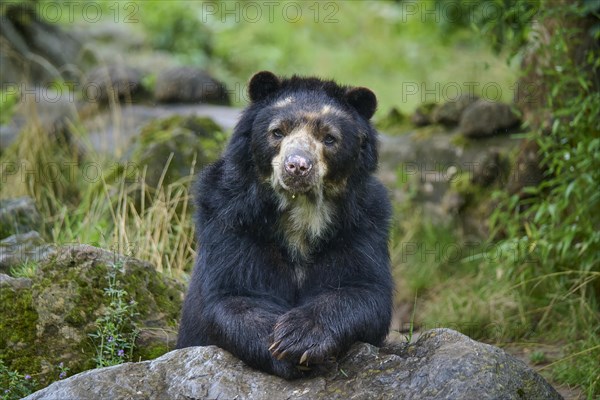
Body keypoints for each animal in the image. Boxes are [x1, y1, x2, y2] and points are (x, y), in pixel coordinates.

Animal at [177, 70, 394, 380]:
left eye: (329, 138)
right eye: (277, 131)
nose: (297, 166)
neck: (301, 211)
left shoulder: (361, 226)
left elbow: (364, 289)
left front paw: (299, 337)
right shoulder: (232, 220)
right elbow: (235, 293)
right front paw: (283, 349)